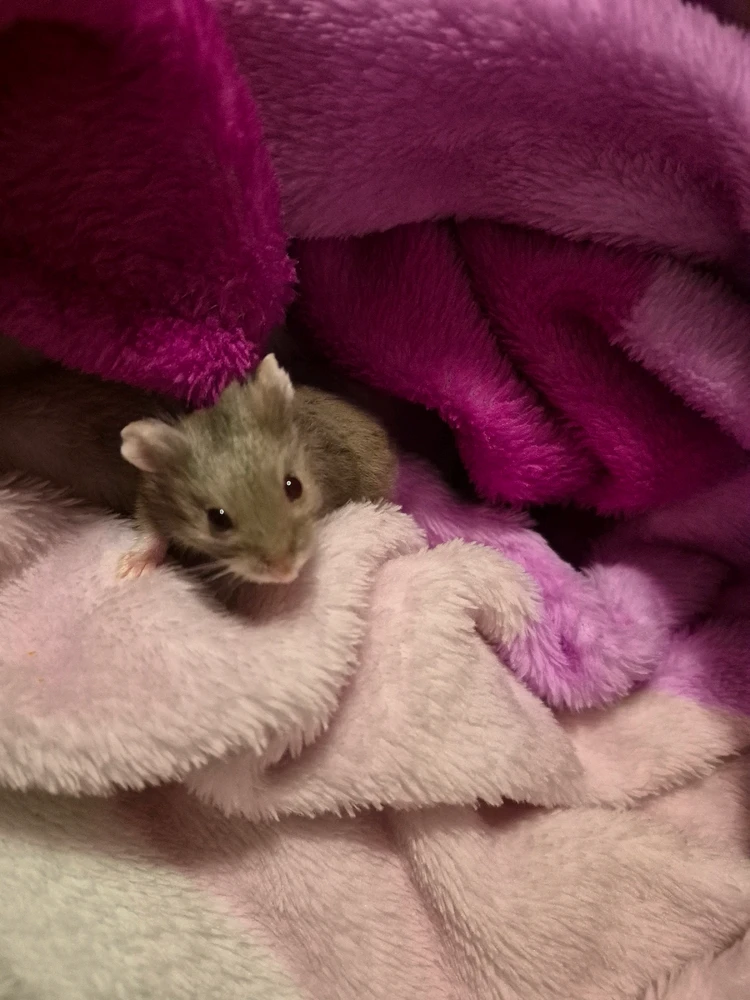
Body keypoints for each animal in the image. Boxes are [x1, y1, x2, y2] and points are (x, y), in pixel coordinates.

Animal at [120, 354, 396, 585]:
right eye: (217, 519)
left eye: (294, 486)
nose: (286, 573)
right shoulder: (150, 495)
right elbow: (151, 531)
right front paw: (129, 570)